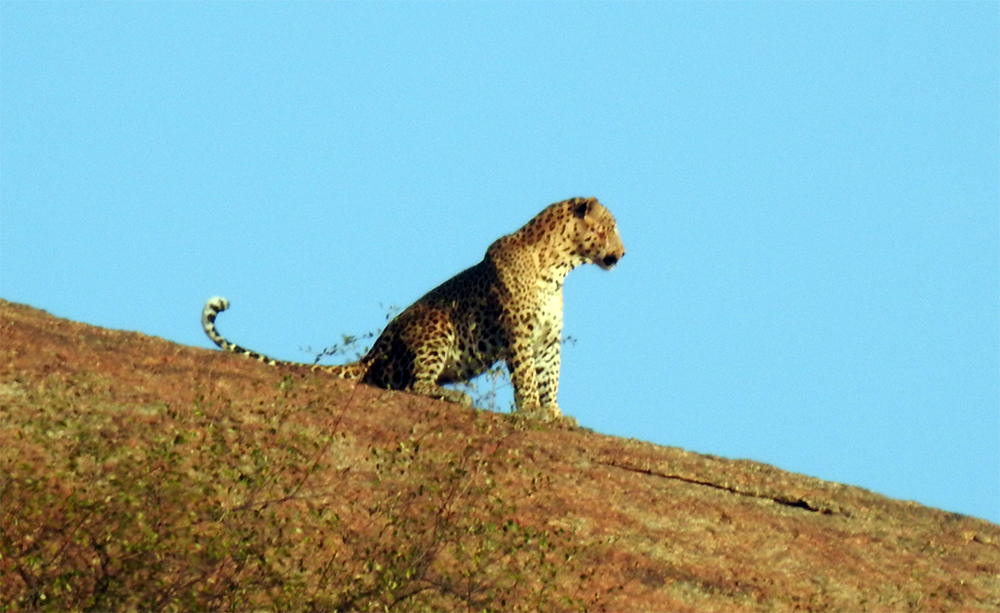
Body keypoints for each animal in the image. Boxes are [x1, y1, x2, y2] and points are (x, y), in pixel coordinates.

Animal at [202, 196, 625, 421]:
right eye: (607, 228)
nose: (622, 254)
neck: (559, 267)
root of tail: (372, 352)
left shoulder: (548, 340)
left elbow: (549, 377)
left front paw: (555, 414)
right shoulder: (520, 333)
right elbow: (526, 377)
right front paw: (532, 411)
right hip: (436, 323)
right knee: (413, 387)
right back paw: (453, 397)